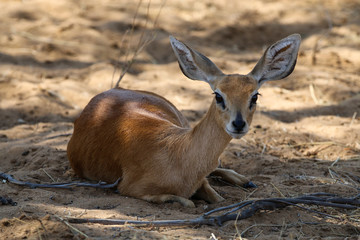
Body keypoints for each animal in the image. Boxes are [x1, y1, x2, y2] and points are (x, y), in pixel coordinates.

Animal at [67, 32, 300, 207]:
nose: (238, 124)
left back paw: (245, 181)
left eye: (254, 96)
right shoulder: (128, 188)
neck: (178, 155)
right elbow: (187, 202)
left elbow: (217, 198)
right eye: (218, 95)